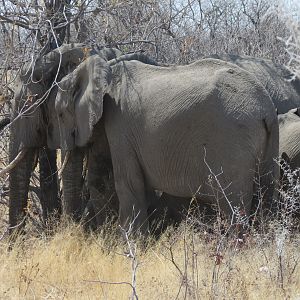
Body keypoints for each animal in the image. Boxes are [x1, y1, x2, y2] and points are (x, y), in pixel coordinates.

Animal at [53, 54, 278, 233]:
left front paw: (132, 246)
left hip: (231, 140)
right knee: (266, 196)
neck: (104, 68)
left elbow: (127, 183)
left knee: (233, 204)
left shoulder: (120, 125)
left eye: (60, 115)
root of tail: (266, 108)